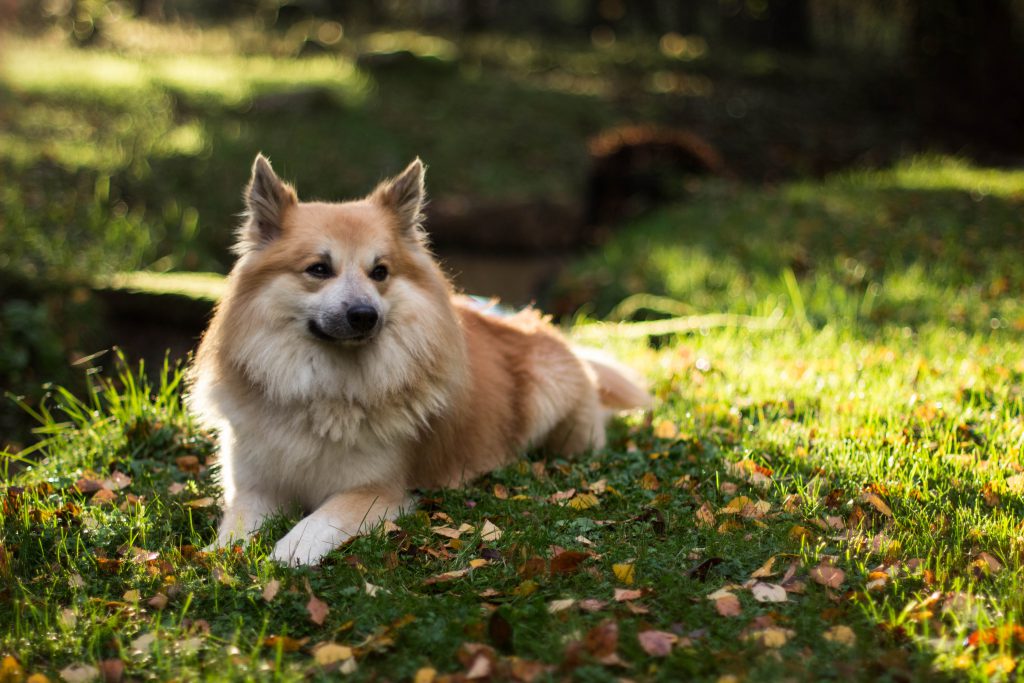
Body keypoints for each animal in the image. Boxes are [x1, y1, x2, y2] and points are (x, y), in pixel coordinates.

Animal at [189, 154, 651, 565]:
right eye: (319, 269)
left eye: (380, 272)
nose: (364, 315)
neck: (325, 390)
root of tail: (534, 323)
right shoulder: (255, 487)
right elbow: (234, 529)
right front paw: (219, 558)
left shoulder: (376, 490)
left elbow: (317, 521)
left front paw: (287, 553)